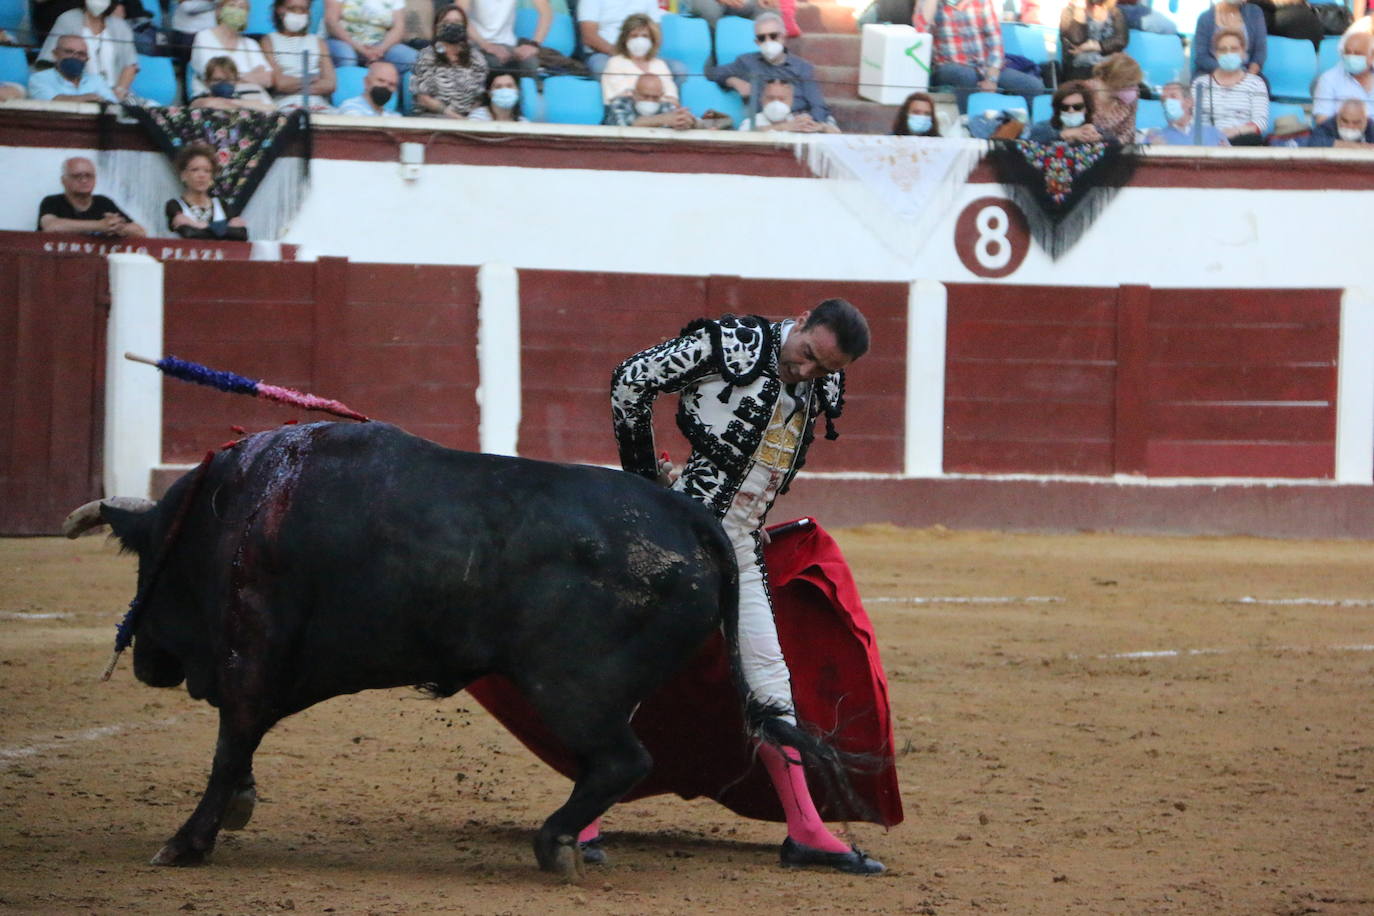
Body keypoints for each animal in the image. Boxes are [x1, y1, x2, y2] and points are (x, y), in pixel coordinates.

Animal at [69, 422, 829, 878]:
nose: (147, 664)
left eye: (147, 568)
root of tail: (690, 517)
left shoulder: (251, 652)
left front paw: (187, 841)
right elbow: (241, 743)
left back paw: (554, 844)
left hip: (572, 687)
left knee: (623, 760)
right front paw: (232, 811)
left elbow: (231, 743)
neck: (230, 512)